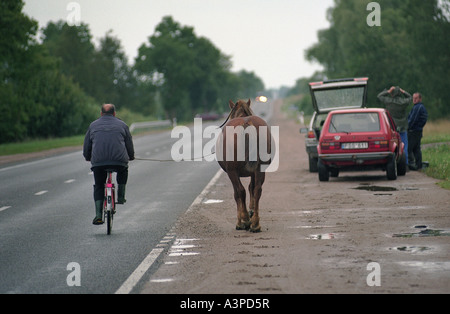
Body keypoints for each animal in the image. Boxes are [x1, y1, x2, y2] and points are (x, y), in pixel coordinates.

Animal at [216, 99, 272, 232]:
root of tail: (246, 124)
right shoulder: (253, 172)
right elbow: (252, 188)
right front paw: (251, 212)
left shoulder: (232, 172)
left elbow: (237, 194)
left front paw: (241, 220)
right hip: (260, 168)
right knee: (257, 189)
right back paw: (255, 224)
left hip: (232, 171)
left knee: (240, 191)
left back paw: (245, 220)